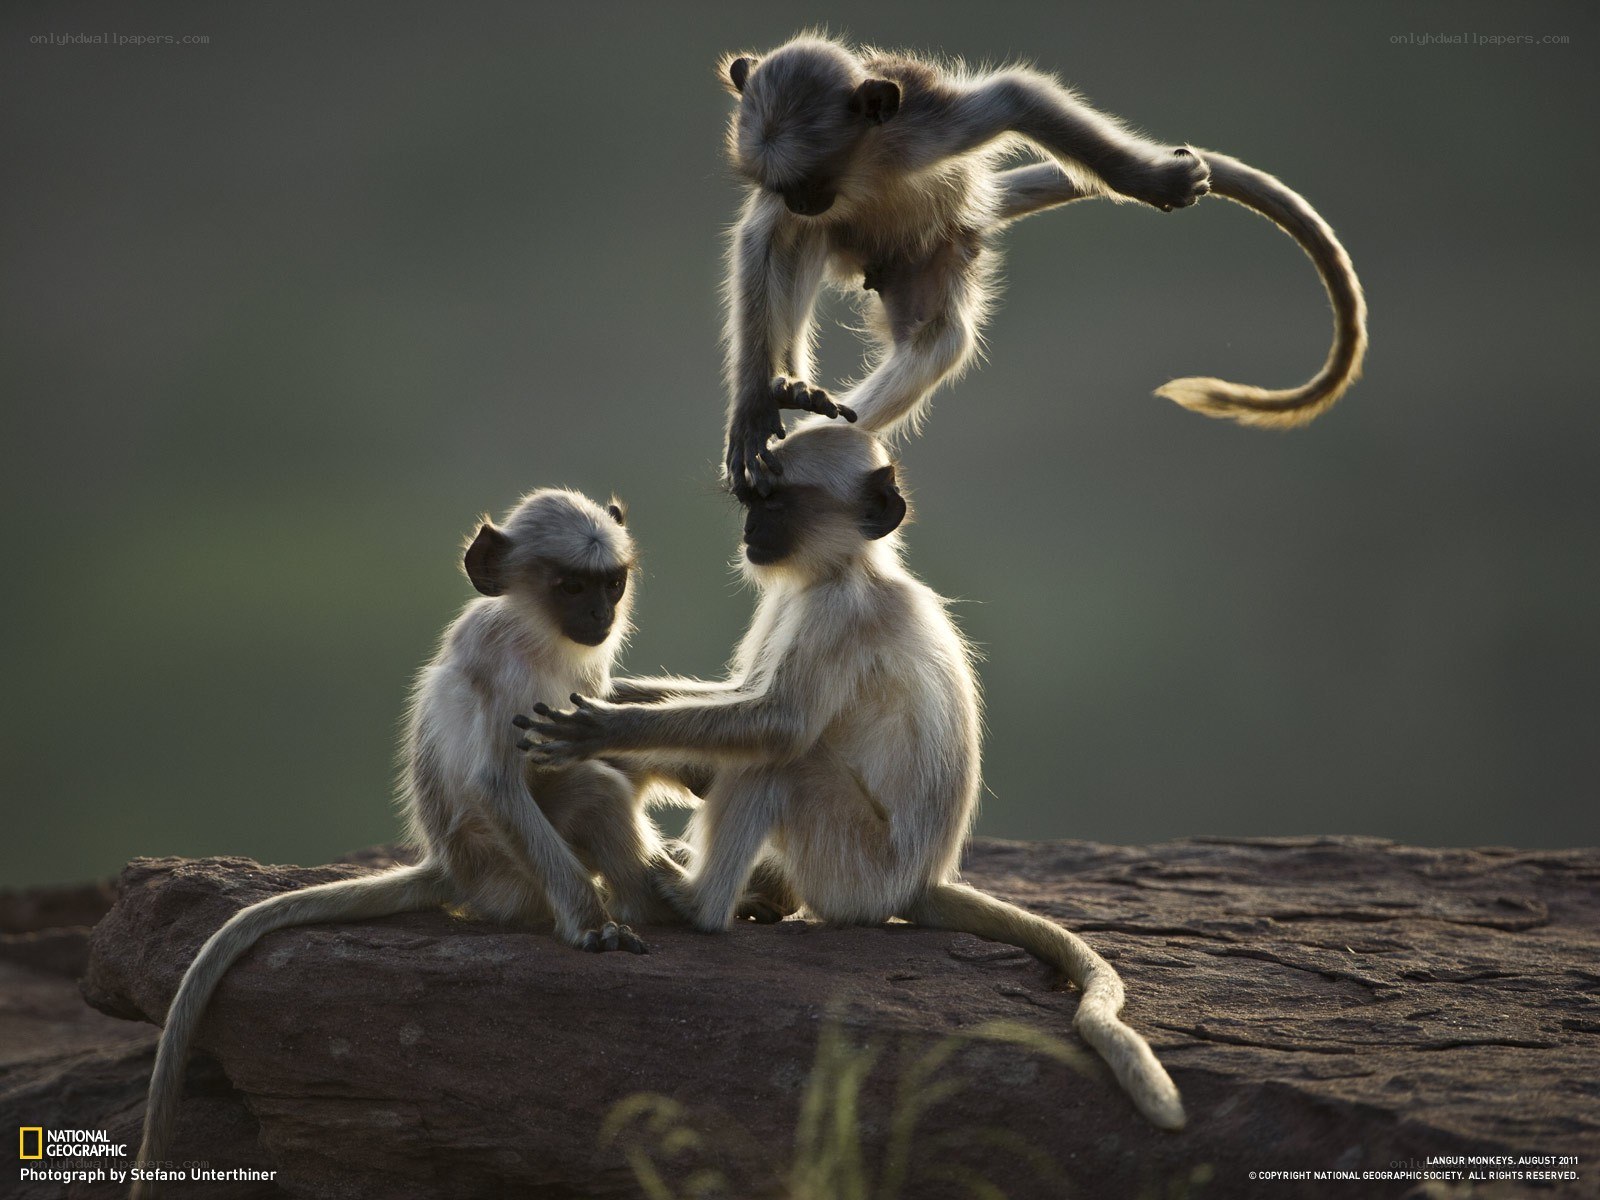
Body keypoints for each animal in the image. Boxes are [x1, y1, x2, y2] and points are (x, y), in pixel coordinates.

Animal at [131, 488, 680, 1199]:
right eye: (571, 586)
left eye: (611, 584)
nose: (599, 614)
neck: (538, 635)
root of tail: (448, 868)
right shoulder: (498, 662)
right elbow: (495, 783)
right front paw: (593, 925)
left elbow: (597, 729)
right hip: (502, 872)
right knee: (591, 790)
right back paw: (648, 904)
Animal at [518, 424, 1187, 1131]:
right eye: (753, 500)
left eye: (776, 503)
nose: (752, 529)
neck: (847, 570)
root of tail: (921, 879)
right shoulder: (787, 598)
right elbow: (740, 699)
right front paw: (615, 696)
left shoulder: (839, 613)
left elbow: (776, 726)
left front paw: (605, 728)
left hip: (855, 870)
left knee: (782, 765)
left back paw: (698, 903)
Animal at [718, 34, 1367, 494]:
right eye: (786, 186)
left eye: (813, 181)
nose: (800, 202)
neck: (865, 169)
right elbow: (759, 238)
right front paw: (754, 403)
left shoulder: (922, 129)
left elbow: (1017, 98)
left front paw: (1147, 180)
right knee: (799, 244)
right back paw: (791, 384)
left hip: (935, 254)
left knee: (940, 337)